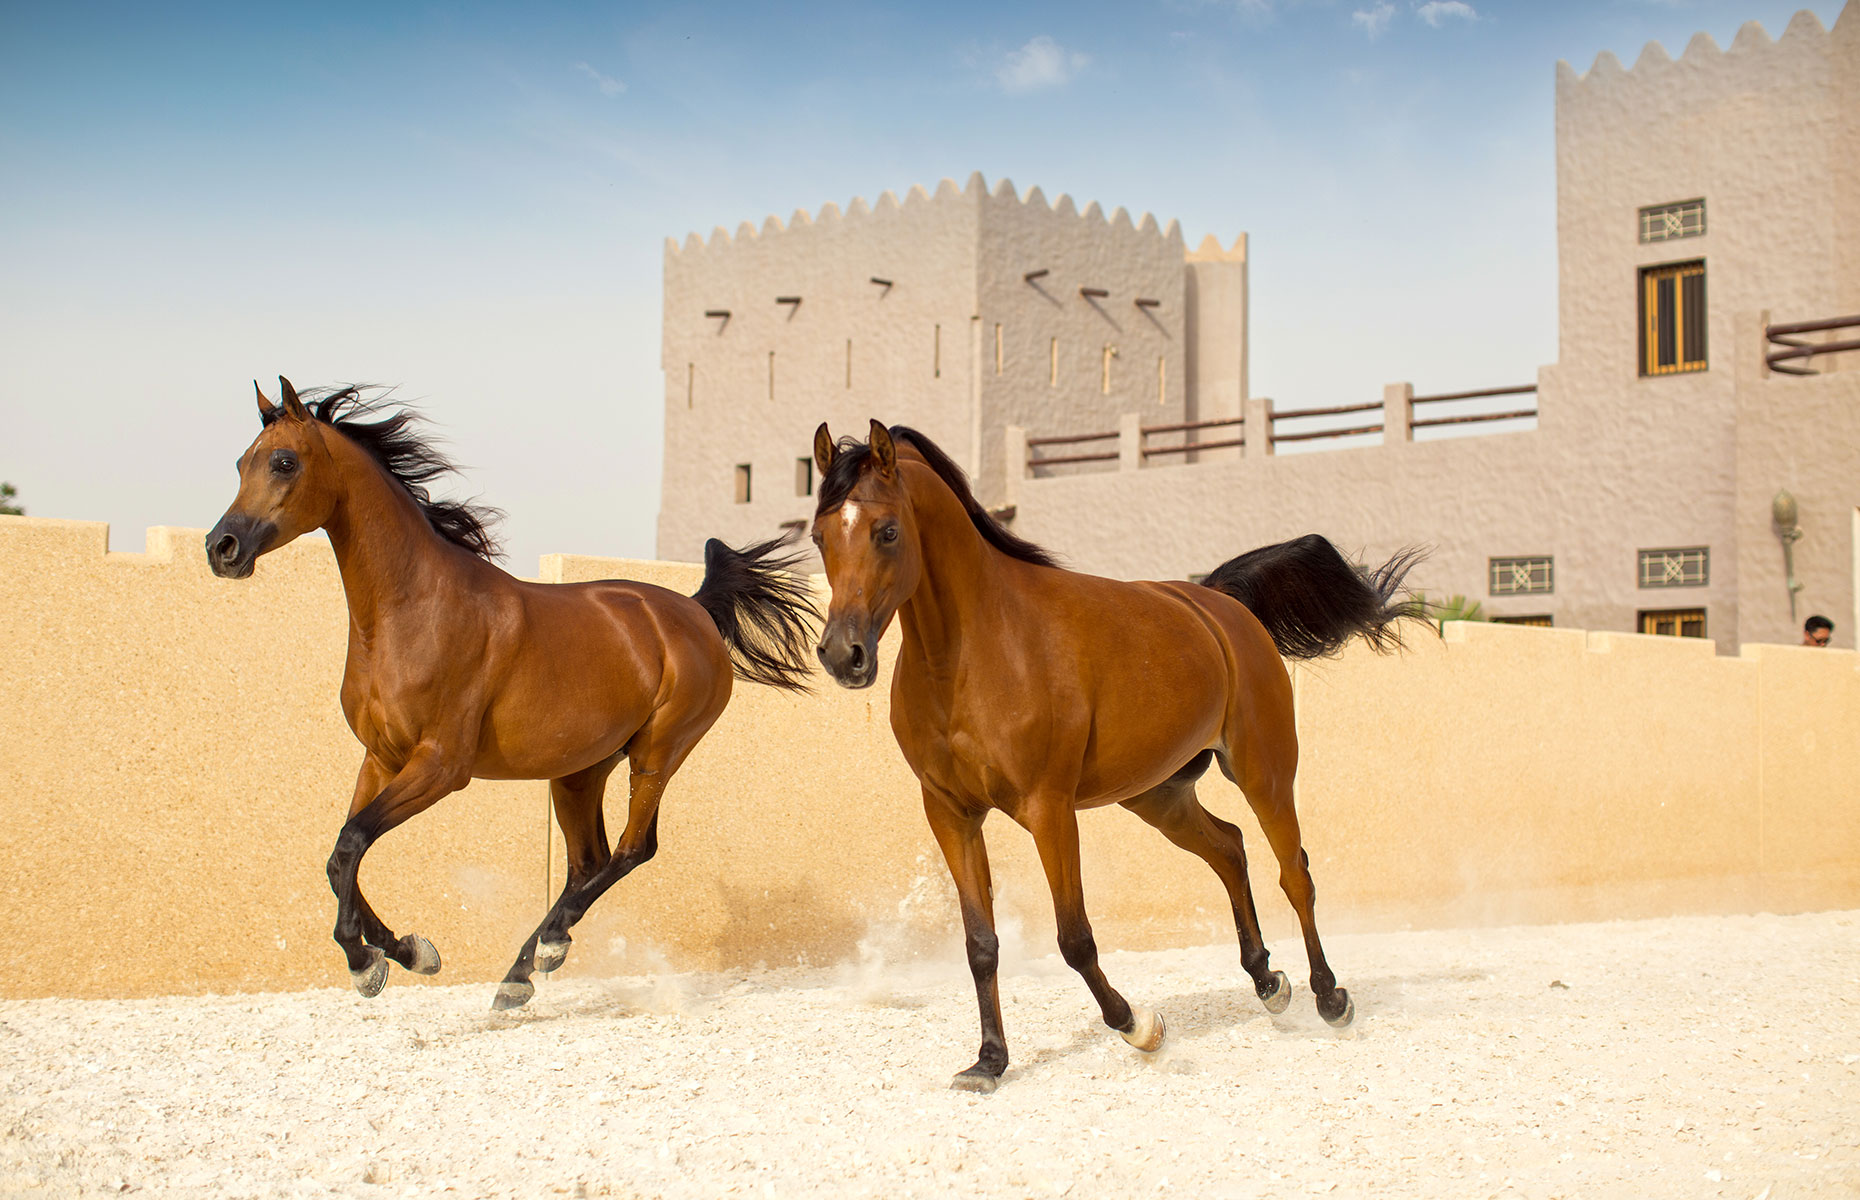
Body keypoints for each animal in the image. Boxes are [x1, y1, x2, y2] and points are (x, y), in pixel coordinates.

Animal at [207, 379, 818, 1004]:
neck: (412, 610)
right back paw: (525, 969)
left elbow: (351, 844)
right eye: (241, 463)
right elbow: (339, 858)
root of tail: (694, 609)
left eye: (284, 462)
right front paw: (408, 952)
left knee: (632, 850)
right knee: (588, 861)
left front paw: (366, 962)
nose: (222, 547)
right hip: (579, 771)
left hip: (658, 753)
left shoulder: (440, 767)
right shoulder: (380, 759)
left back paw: (541, 952)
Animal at [807, 418, 1413, 1086]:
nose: (843, 655)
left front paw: (1138, 1026)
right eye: (818, 536)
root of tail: (1219, 604)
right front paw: (989, 1061)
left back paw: (1329, 996)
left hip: (1265, 774)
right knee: (1229, 849)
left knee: (1294, 873)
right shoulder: (950, 813)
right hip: (1157, 796)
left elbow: (1075, 938)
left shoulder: (1048, 810)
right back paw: (1266, 980)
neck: (974, 651)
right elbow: (980, 944)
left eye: (887, 530)